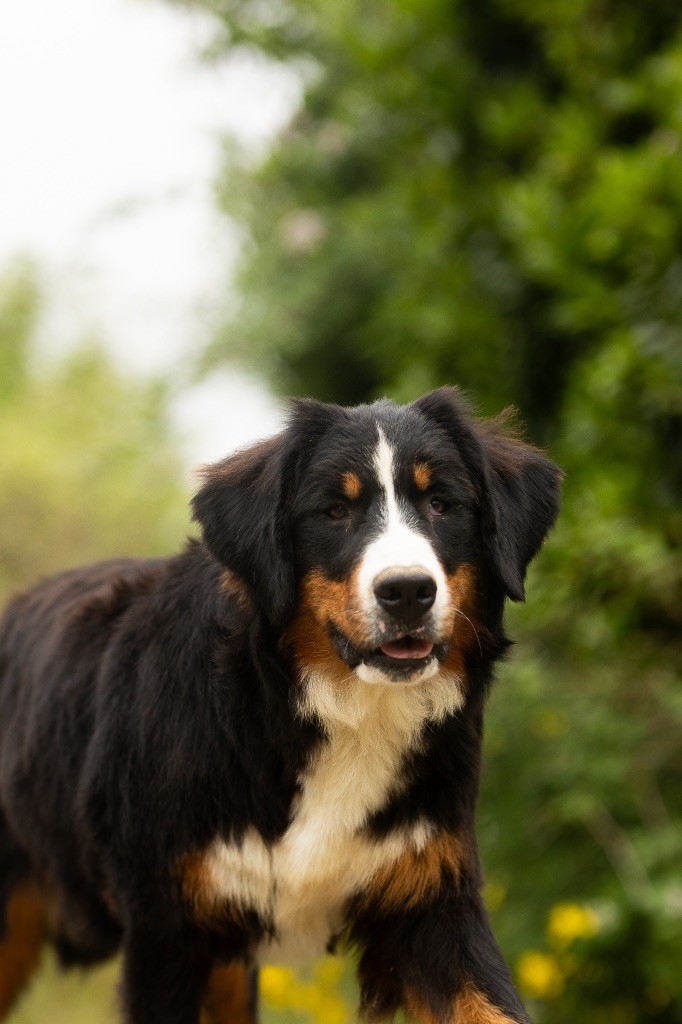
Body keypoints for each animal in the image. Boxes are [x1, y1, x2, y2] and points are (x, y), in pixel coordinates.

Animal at [0, 387, 557, 1019]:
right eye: (335, 512)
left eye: (441, 503)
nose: (408, 591)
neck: (340, 712)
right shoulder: (167, 928)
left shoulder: (431, 900)